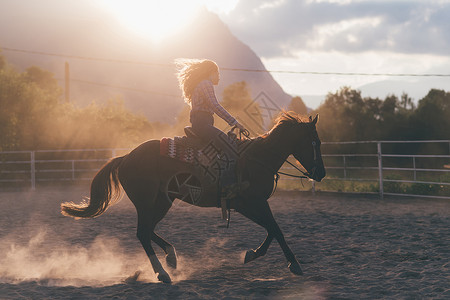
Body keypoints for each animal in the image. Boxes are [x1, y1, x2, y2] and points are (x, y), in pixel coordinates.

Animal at [61, 111, 326, 282]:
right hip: (149, 202)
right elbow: (276, 228)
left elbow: (272, 228)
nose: (321, 173)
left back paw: (171, 257)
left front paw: (252, 254)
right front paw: (294, 264)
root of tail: (126, 157)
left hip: (162, 201)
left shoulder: (249, 204)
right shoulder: (250, 203)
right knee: (143, 233)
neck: (256, 159)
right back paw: (162, 273)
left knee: (147, 231)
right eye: (315, 142)